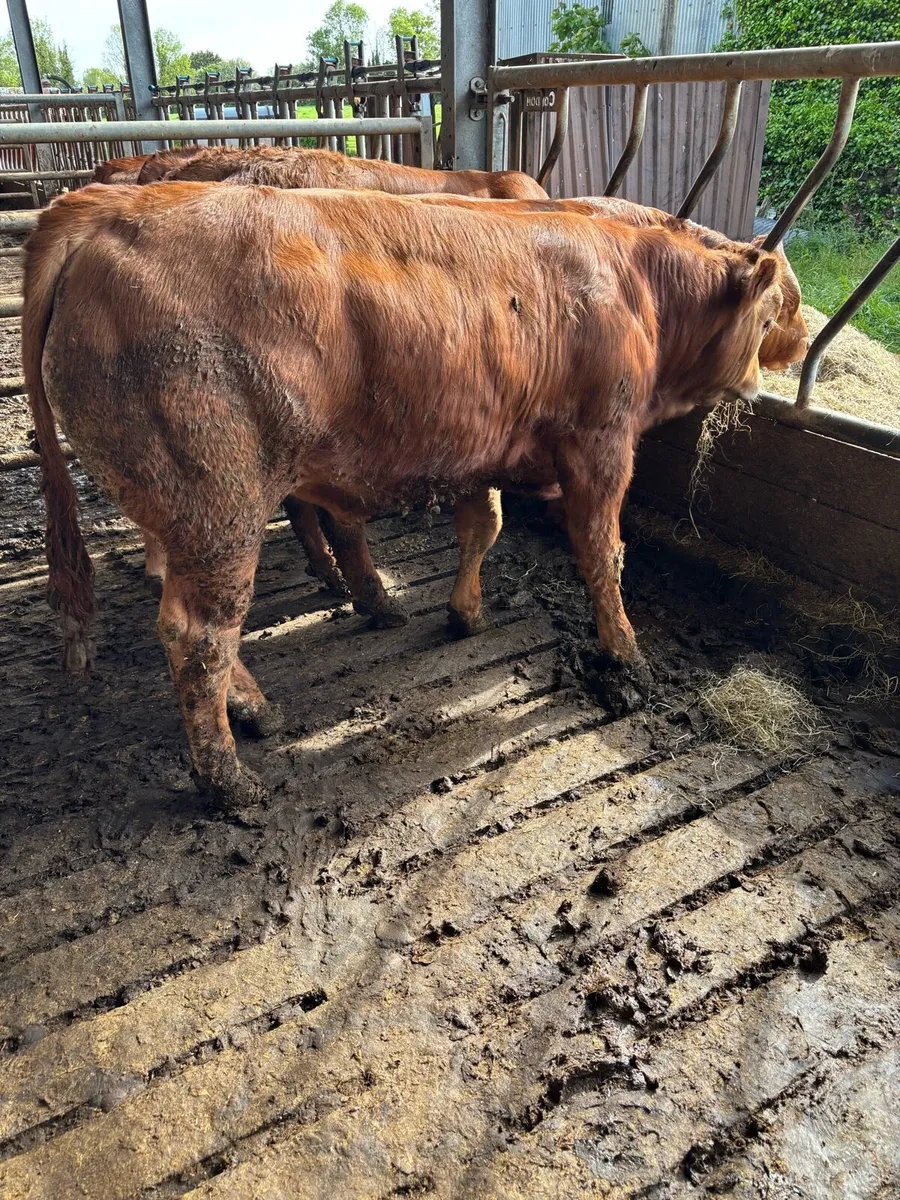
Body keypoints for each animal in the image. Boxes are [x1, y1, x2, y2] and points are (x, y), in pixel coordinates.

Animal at [24, 184, 785, 809]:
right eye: (775, 314)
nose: (762, 381)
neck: (632, 281)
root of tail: (109, 218)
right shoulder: (601, 444)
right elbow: (602, 556)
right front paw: (626, 656)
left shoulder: (482, 442)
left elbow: (483, 527)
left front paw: (464, 613)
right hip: (219, 508)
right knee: (199, 633)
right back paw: (230, 780)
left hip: (191, 516)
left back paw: (260, 707)